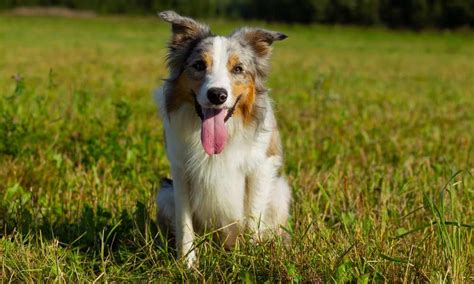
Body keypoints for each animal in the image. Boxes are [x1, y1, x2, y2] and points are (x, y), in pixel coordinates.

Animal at [154, 11, 290, 268]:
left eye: (237, 69)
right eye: (199, 65)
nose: (217, 95)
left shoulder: (261, 167)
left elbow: (252, 217)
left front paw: (252, 258)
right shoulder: (180, 170)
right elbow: (185, 224)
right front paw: (187, 265)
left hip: (280, 191)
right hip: (164, 193)